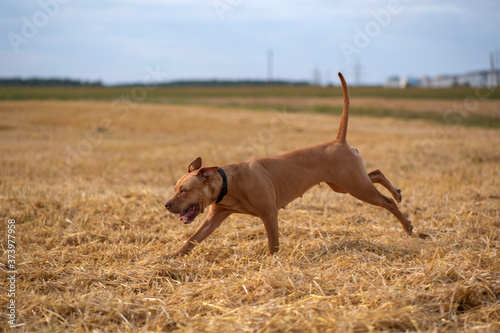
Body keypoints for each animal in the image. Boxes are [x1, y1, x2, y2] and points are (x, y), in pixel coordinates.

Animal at [164, 72, 410, 256]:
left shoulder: (269, 214)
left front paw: (272, 261)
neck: (227, 183)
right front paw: (172, 255)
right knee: (376, 173)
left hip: (356, 187)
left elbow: (273, 244)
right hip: (344, 184)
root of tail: (338, 141)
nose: (166, 205)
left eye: (184, 191)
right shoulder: (214, 218)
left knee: (386, 202)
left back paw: (407, 224)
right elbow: (192, 239)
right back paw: (397, 192)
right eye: (175, 189)